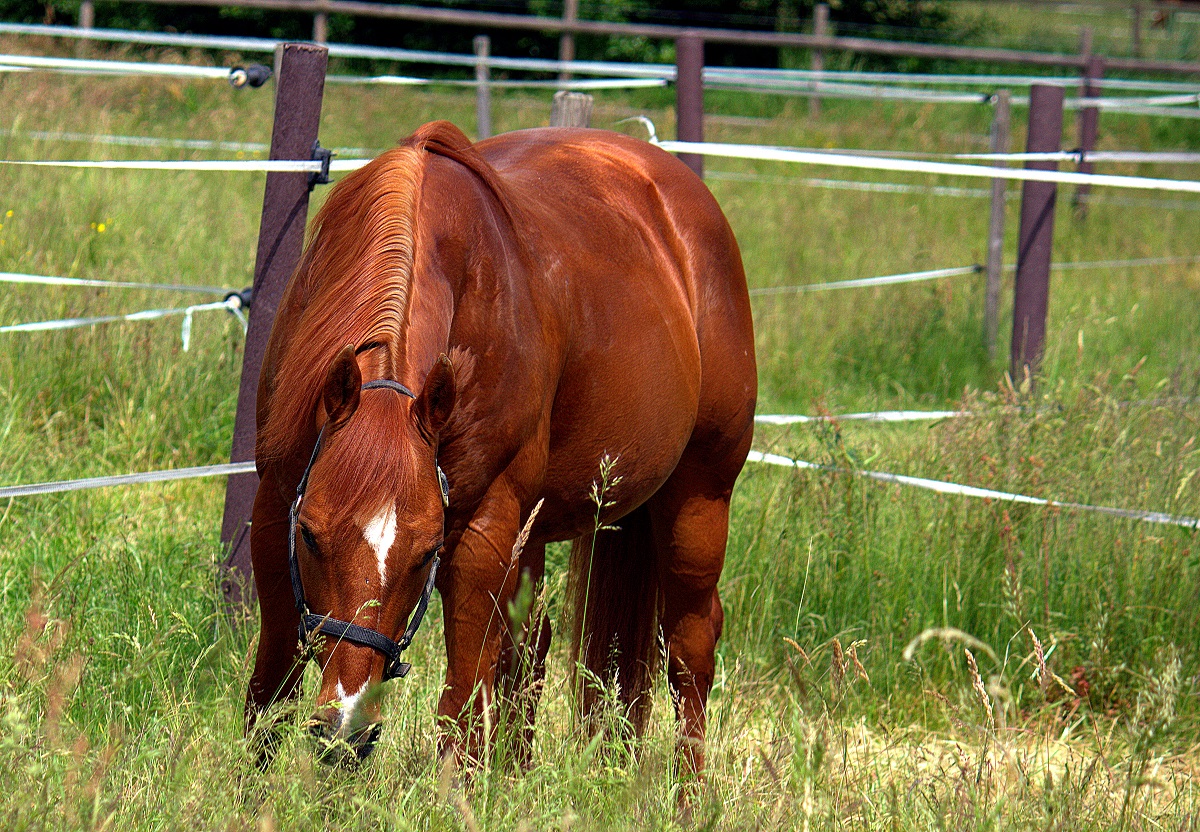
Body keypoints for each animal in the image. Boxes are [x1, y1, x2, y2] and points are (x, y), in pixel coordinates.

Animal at [244, 118, 753, 773]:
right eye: (309, 535)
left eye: (426, 553)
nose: (345, 731)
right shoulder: (276, 504)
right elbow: (270, 683)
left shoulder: (482, 530)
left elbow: (460, 699)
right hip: (537, 529)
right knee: (531, 647)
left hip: (698, 499)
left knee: (691, 647)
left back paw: (682, 789)